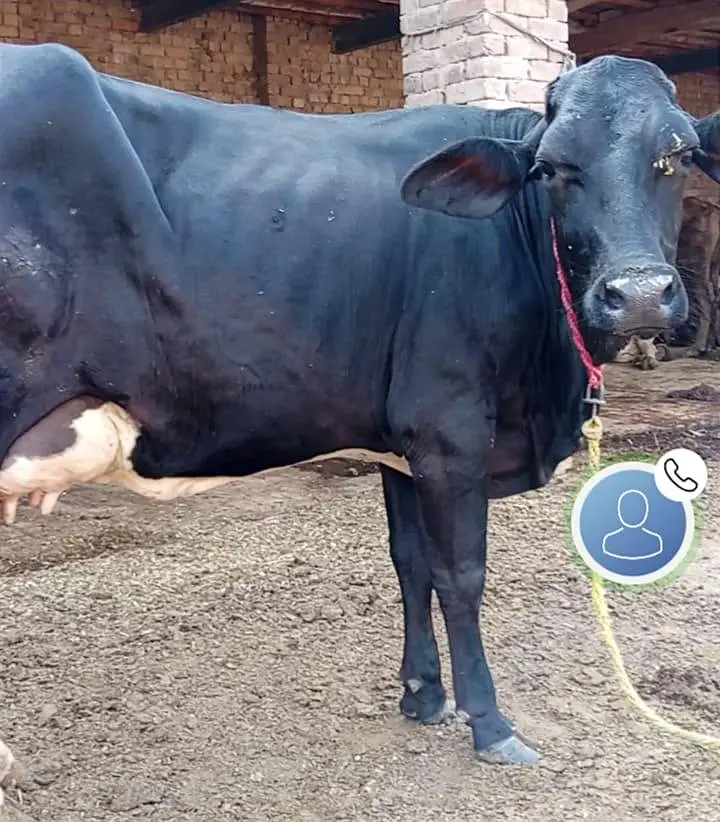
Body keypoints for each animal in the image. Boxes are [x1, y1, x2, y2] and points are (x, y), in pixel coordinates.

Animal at [0, 42, 718, 774]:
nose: (637, 295)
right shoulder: (451, 429)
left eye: (680, 154)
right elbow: (460, 574)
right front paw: (488, 722)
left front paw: (423, 695)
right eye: (551, 168)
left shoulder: (402, 441)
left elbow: (410, 562)